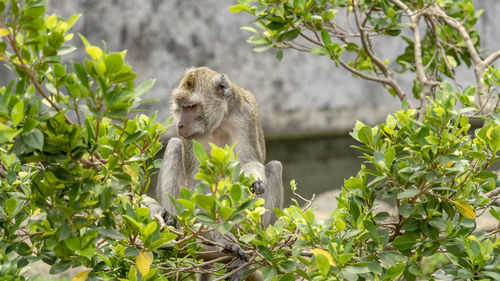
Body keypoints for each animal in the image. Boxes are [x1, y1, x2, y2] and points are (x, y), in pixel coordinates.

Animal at [152, 66, 284, 280]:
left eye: (191, 107)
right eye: (181, 106)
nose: (180, 124)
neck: (218, 123)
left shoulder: (246, 114)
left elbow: (250, 162)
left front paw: (254, 179)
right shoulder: (191, 137)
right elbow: (197, 183)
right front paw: (223, 239)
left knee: (274, 168)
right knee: (174, 146)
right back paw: (177, 227)